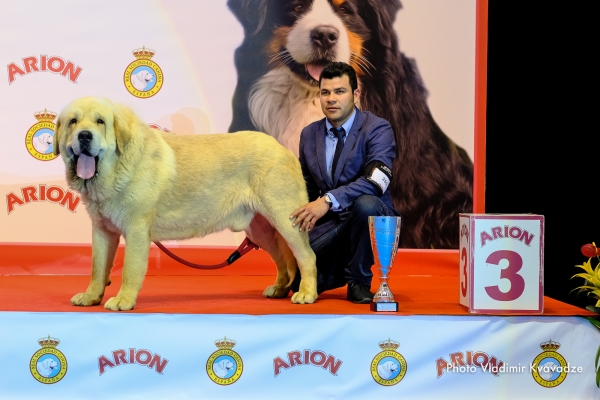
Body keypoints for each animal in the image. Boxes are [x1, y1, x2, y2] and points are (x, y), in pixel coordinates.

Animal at [54, 96, 318, 310]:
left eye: (100, 122)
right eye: (73, 121)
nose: (84, 135)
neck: (115, 170)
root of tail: (283, 148)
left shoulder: (136, 230)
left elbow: (130, 269)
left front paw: (123, 300)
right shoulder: (102, 230)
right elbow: (97, 268)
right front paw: (91, 296)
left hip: (286, 220)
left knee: (306, 257)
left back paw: (306, 293)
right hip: (260, 231)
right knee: (283, 260)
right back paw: (280, 289)